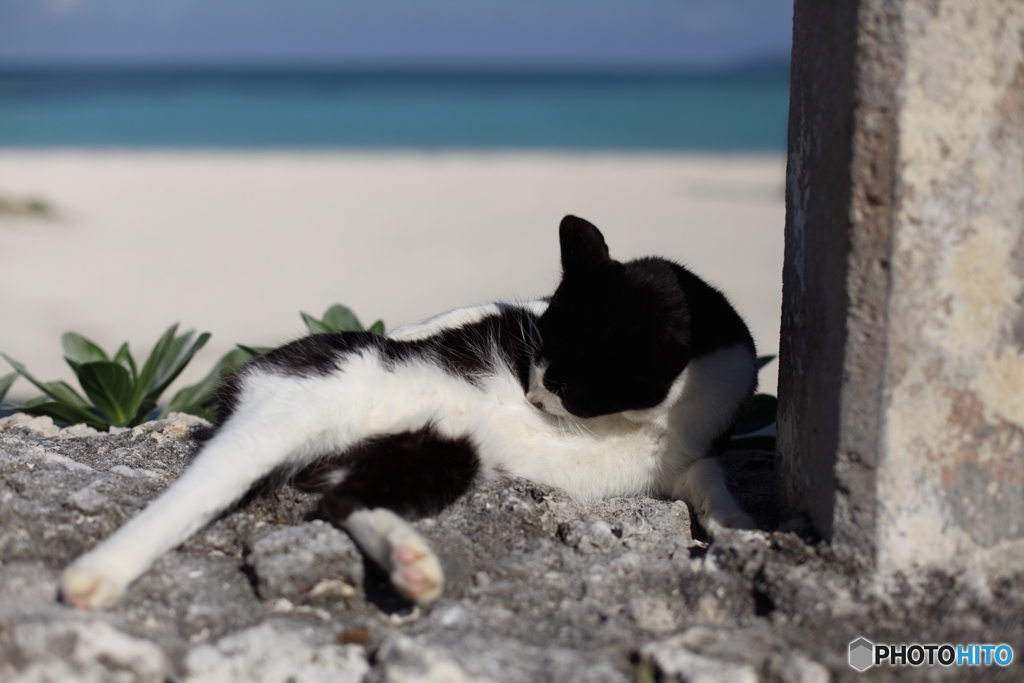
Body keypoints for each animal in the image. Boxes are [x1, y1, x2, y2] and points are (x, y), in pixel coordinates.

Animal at [59, 215, 757, 610]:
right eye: (538, 360)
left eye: (568, 383)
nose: (532, 396)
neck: (638, 424)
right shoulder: (493, 314)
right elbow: (443, 322)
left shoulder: (688, 456)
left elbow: (711, 478)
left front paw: (740, 527)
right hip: (291, 412)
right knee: (192, 495)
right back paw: (93, 577)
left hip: (439, 452)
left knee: (344, 498)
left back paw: (411, 565)